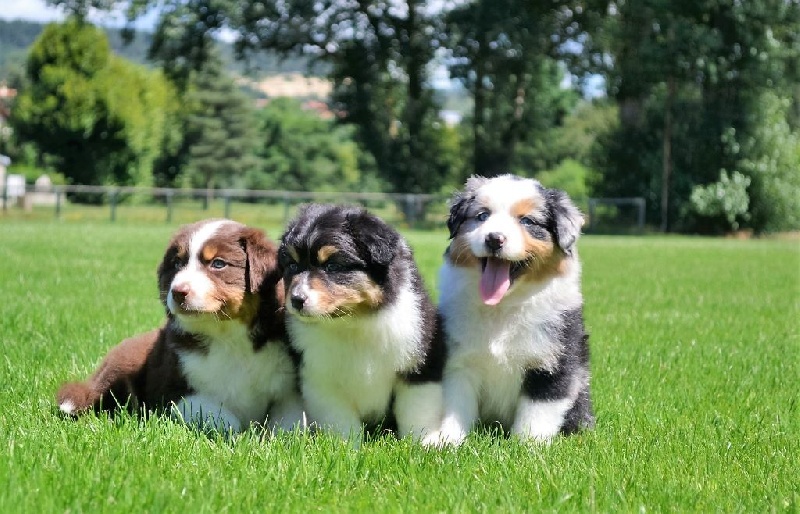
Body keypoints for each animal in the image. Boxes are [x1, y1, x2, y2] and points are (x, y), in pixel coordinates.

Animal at [56, 219, 304, 433]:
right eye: (177, 263)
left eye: (218, 264)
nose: (177, 292)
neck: (227, 338)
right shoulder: (176, 393)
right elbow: (224, 418)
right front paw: (241, 436)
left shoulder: (287, 389)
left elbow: (289, 422)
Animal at [278, 204, 444, 441]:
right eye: (292, 265)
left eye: (332, 266)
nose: (296, 300)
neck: (353, 322)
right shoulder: (319, 379)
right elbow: (340, 421)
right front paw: (345, 446)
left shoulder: (419, 365)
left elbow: (417, 413)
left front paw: (424, 444)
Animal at [431, 174, 595, 445]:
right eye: (482, 215)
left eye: (527, 221)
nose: (494, 238)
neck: (503, 306)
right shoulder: (459, 361)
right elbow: (455, 406)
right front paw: (445, 440)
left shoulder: (553, 363)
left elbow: (537, 412)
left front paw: (527, 446)